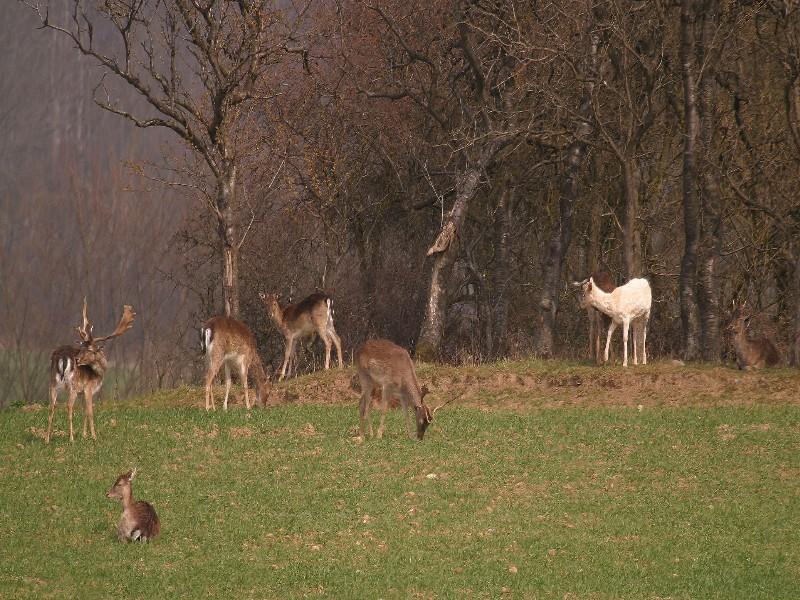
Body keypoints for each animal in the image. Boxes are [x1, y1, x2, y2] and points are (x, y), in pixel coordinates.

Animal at [45, 300, 135, 446]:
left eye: (90, 350)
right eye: (82, 348)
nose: (77, 359)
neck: (98, 373)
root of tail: (62, 356)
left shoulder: (82, 391)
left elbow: (84, 412)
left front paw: (84, 434)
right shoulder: (88, 388)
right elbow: (90, 412)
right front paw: (93, 436)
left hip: (52, 382)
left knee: (51, 407)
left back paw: (47, 439)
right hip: (72, 386)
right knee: (69, 407)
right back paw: (71, 438)